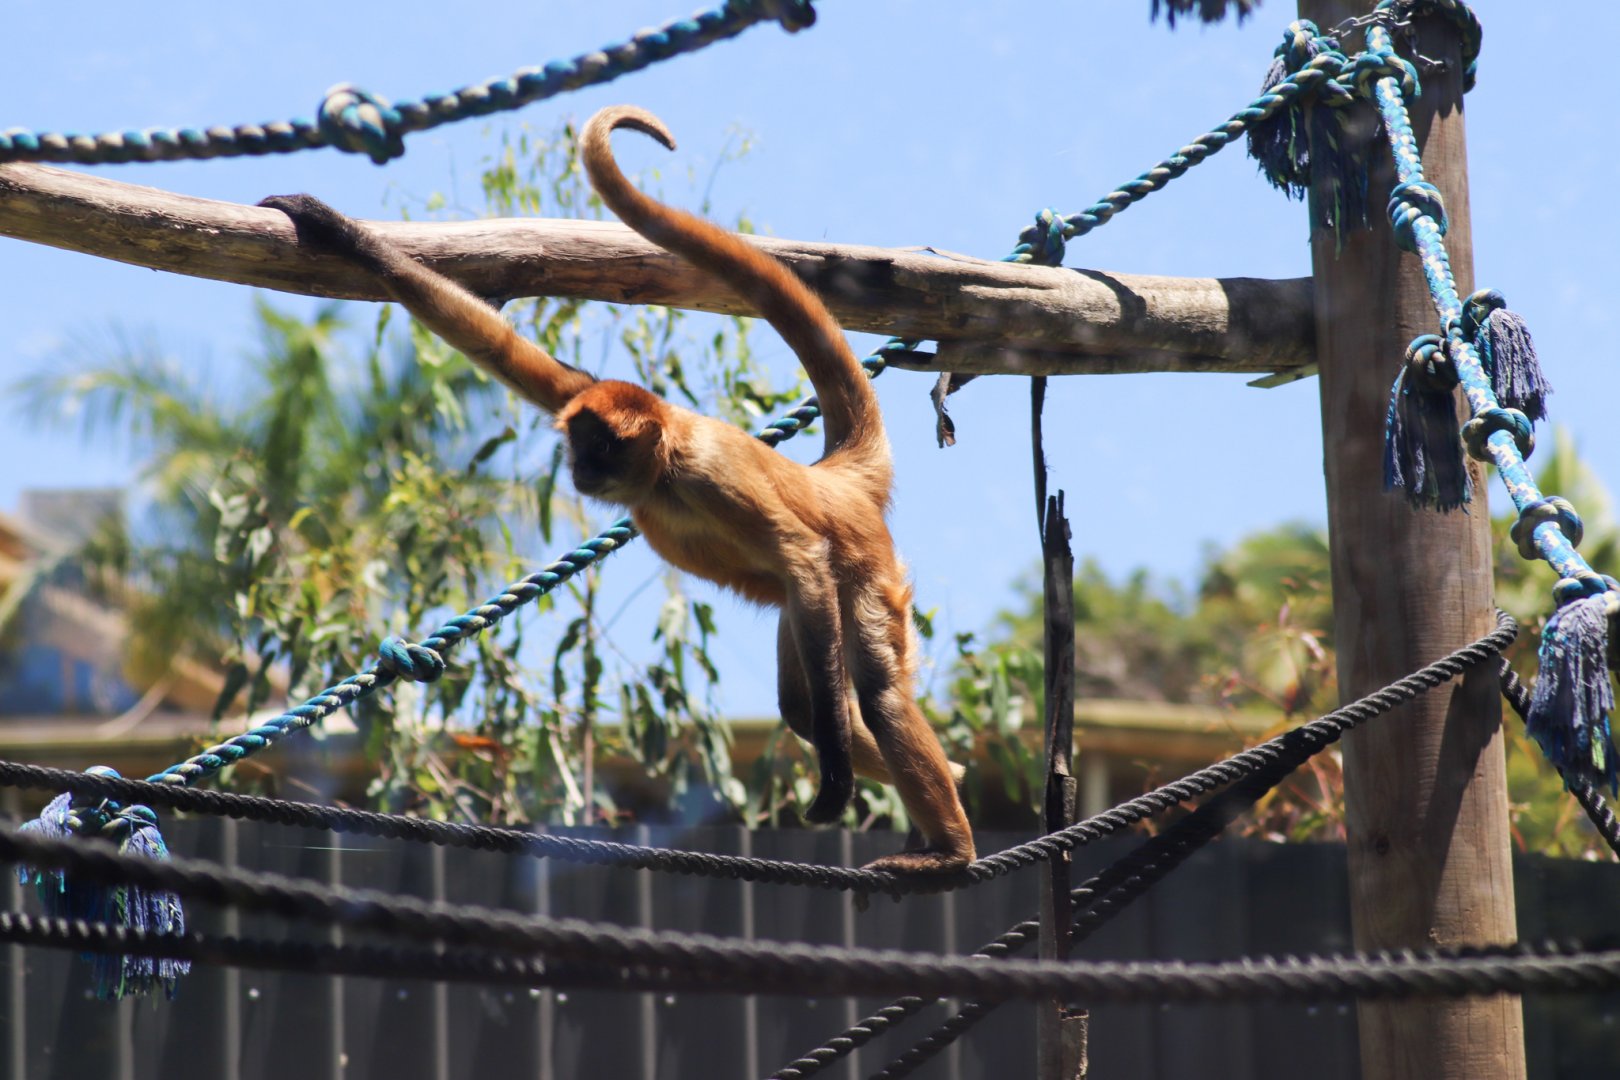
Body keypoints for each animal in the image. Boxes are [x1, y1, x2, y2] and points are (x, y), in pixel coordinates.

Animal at [258, 104, 975, 874]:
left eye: (601, 448)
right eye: (578, 442)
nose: (579, 467)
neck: (664, 472)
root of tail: (834, 478)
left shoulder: (712, 476)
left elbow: (802, 554)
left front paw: (837, 781)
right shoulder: (580, 393)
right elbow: (494, 346)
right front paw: (330, 227)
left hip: (863, 573)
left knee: (876, 691)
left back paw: (950, 846)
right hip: (812, 611)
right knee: (803, 706)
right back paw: (954, 782)